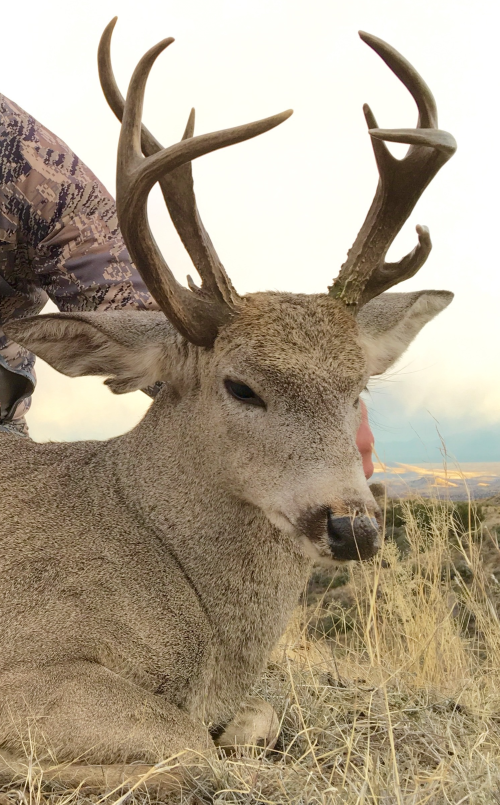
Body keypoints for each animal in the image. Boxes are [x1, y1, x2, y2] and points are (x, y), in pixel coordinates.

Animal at [0, 19, 456, 793]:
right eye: (241, 386)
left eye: (358, 388)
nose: (354, 527)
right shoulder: (29, 660)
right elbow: (188, 744)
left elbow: (255, 718)